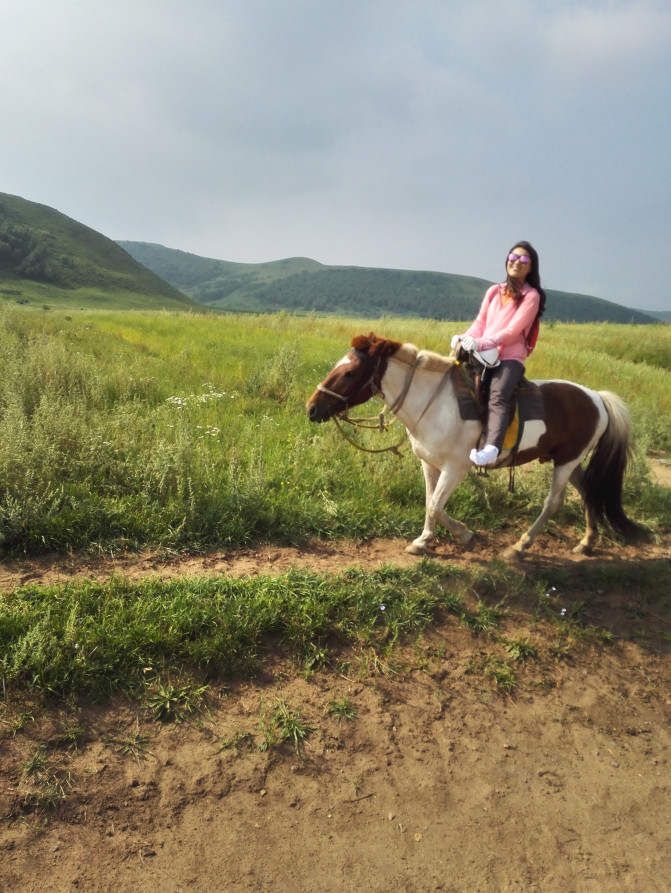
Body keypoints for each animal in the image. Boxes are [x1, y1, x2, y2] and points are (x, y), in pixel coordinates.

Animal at [306, 334, 644, 556]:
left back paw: (521, 545)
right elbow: (430, 503)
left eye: (349, 372)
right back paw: (587, 542)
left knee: (553, 503)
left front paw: (465, 535)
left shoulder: (455, 468)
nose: (312, 408)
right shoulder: (429, 463)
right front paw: (424, 540)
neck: (435, 403)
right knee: (588, 491)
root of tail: (598, 397)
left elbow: (435, 504)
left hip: (567, 461)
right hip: (567, 460)